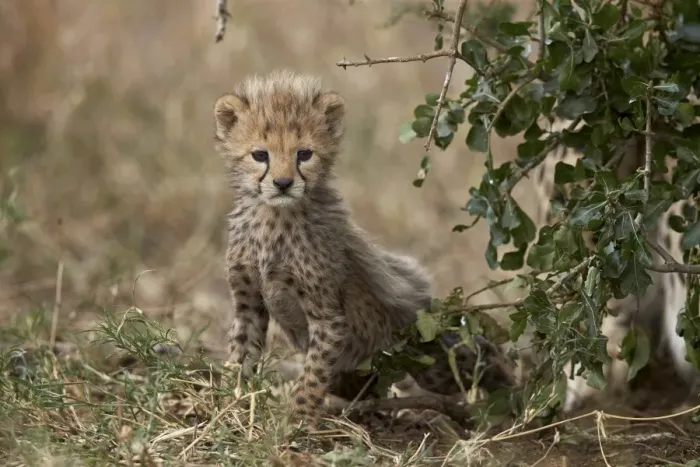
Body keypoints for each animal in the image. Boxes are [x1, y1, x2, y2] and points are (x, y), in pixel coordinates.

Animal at [213, 70, 514, 424]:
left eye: (304, 154)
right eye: (260, 155)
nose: (283, 184)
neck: (273, 215)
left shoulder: (328, 319)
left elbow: (312, 375)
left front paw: (296, 420)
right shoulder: (248, 303)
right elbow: (241, 354)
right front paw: (228, 405)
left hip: (432, 361)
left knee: (480, 356)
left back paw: (515, 395)